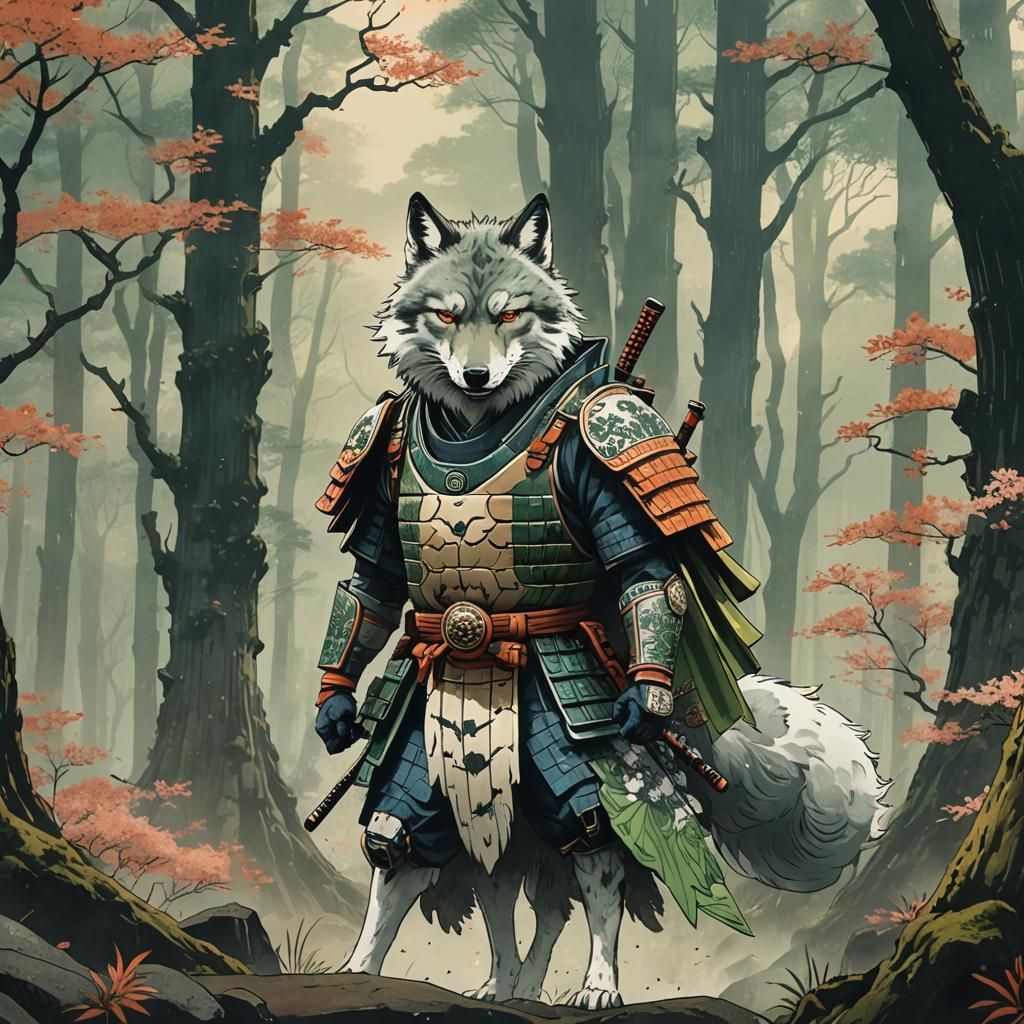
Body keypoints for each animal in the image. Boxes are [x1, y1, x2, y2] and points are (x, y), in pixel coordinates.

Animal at [314, 192, 889, 1009]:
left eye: (511, 312)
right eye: (447, 314)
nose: (478, 375)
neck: (478, 425)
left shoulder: (610, 442)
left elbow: (641, 567)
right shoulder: (376, 442)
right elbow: (372, 584)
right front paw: (358, 970)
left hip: (575, 733)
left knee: (585, 844)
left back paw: (587, 984)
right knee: (469, 857)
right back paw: (505, 981)